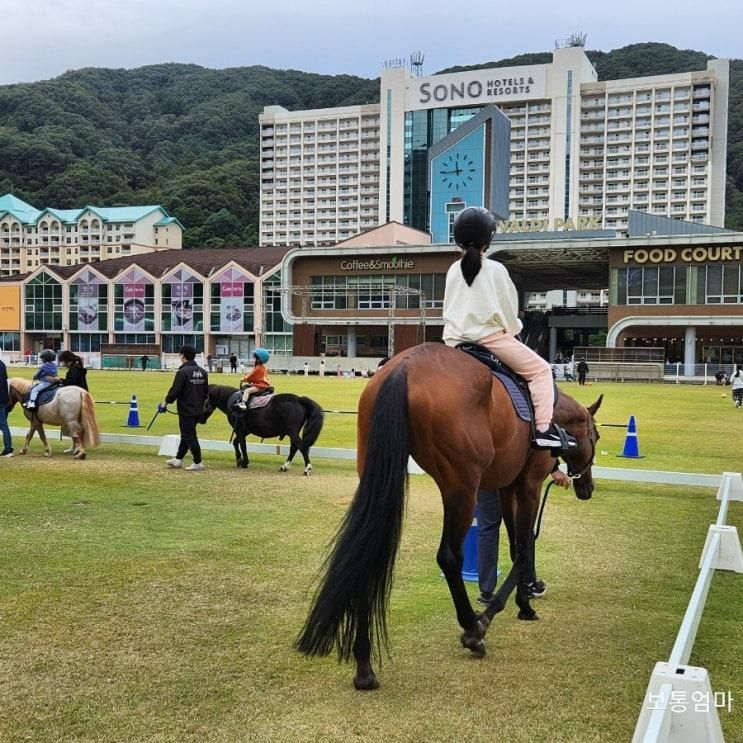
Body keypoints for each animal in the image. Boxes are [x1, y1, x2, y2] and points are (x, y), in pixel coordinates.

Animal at [294, 344, 600, 692]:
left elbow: (514, 548)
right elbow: (524, 549)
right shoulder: (529, 485)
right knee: (449, 557)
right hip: (461, 487)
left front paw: (523, 604)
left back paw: (364, 666)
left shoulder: (506, 487)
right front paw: (497, 613)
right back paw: (472, 630)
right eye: (596, 438)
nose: (587, 487)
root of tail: (404, 368)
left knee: (366, 551)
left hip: (378, 474)